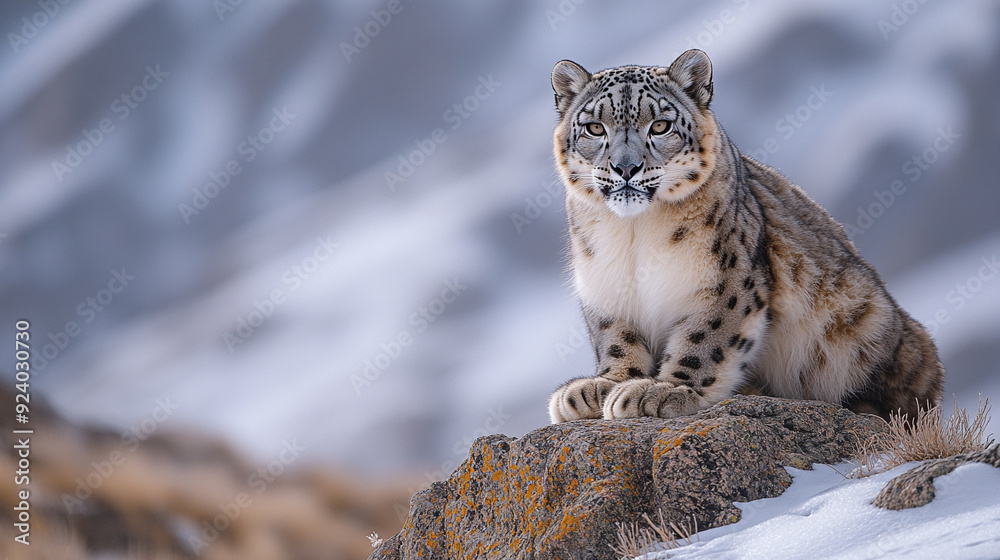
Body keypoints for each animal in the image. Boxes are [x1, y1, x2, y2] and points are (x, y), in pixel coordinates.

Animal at [547, 49, 944, 424]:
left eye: (659, 125)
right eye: (595, 128)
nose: (625, 168)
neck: (632, 234)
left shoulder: (725, 282)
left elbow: (704, 340)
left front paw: (665, 390)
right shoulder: (605, 289)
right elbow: (616, 339)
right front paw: (603, 386)